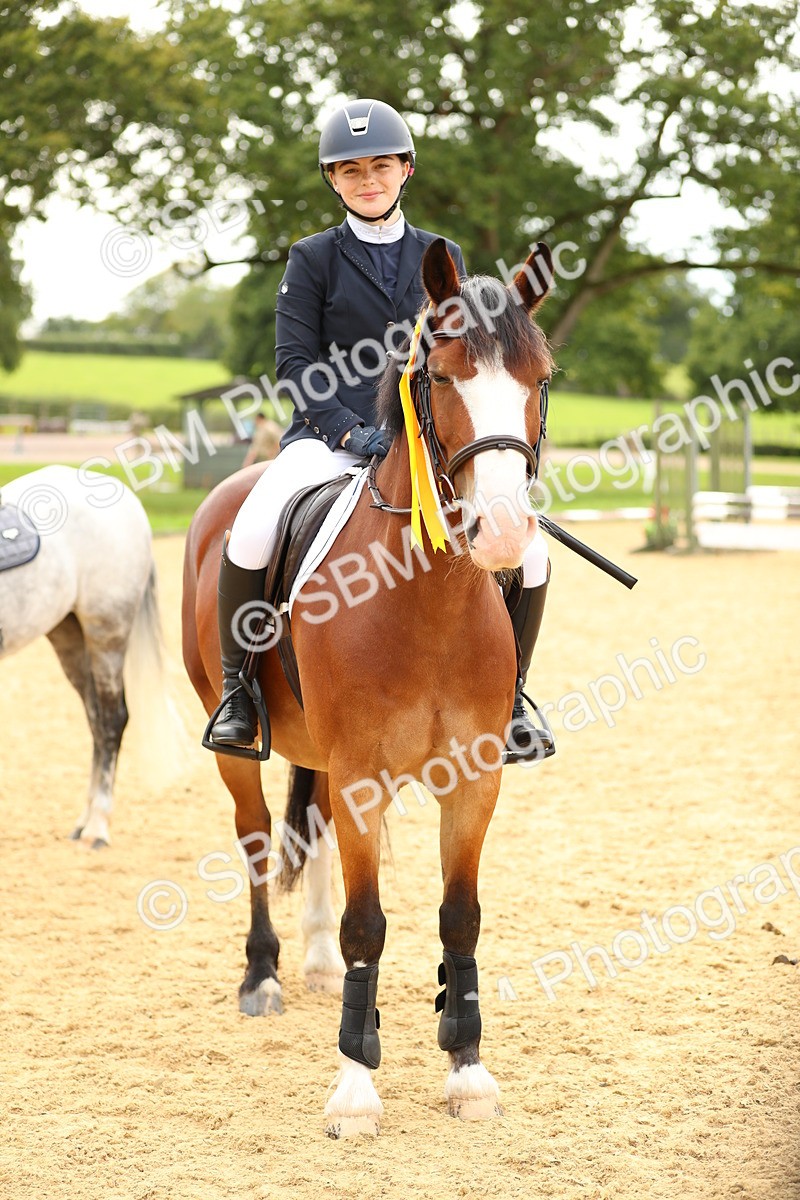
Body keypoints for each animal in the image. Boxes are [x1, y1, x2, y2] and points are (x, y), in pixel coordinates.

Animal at [0, 464, 164, 847]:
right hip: (69, 638)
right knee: (95, 721)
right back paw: (85, 819)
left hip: (107, 635)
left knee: (112, 721)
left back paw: (98, 825)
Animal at [181, 238, 555, 1137]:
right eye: (443, 375)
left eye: (541, 378)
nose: (505, 532)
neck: (429, 600)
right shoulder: (361, 774)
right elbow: (368, 925)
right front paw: (355, 1086)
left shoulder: (474, 778)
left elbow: (460, 915)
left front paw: (467, 1069)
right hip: (237, 743)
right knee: (255, 839)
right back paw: (265, 977)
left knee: (308, 829)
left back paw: (312, 961)